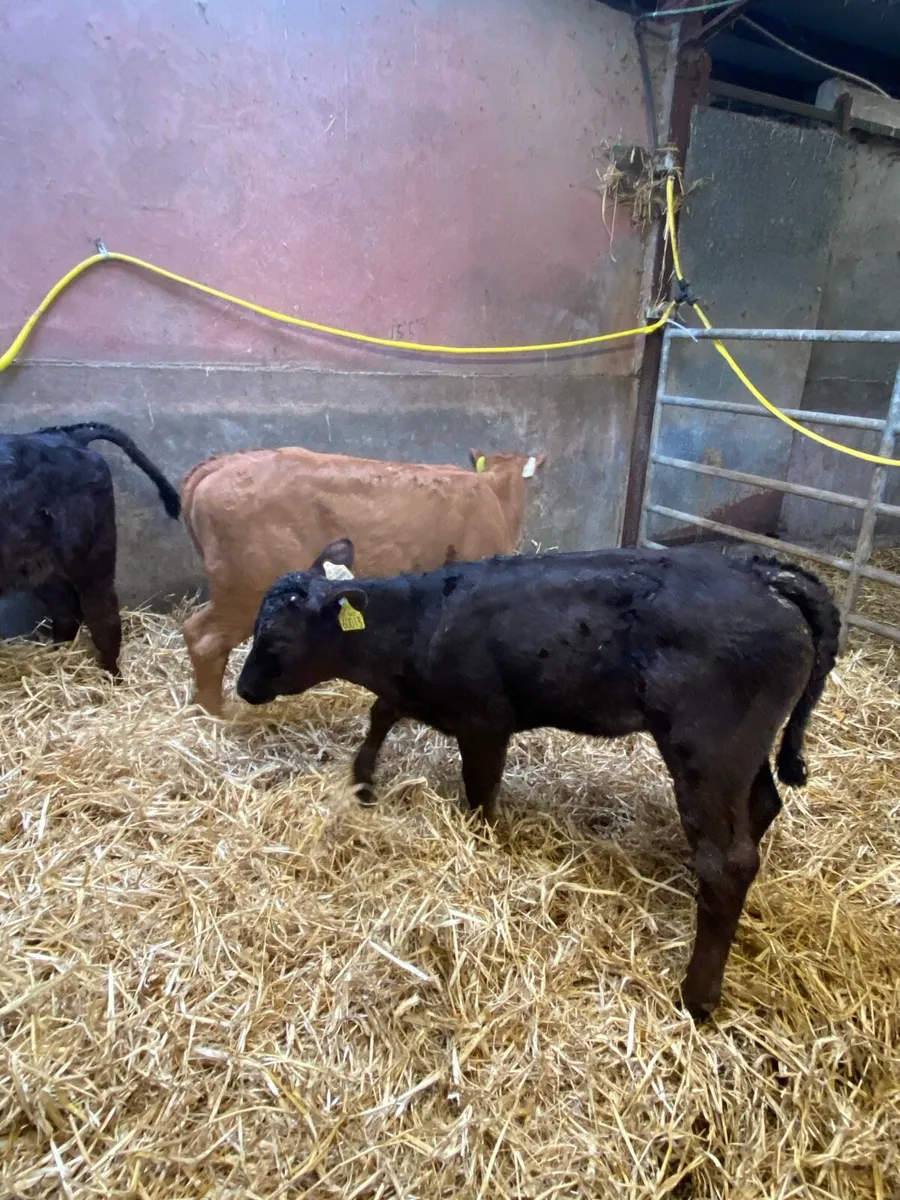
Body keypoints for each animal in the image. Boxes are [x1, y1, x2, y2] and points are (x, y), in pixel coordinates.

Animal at [0, 422, 181, 675]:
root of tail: (73, 436)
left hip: (93, 558)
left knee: (103, 616)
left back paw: (111, 676)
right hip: (39, 566)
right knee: (66, 608)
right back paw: (58, 658)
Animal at [181, 445, 544, 715]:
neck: (494, 493)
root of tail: (223, 463)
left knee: (194, 630)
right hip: (244, 591)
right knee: (206, 640)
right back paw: (214, 713)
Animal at [235, 540, 840, 1020]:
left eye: (276, 641)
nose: (242, 688)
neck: (421, 621)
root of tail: (766, 574)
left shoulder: (484, 721)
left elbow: (479, 792)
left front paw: (482, 850)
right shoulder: (415, 693)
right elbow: (381, 713)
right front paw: (362, 782)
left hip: (707, 749)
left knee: (727, 861)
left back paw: (697, 996)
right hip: (742, 753)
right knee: (761, 806)